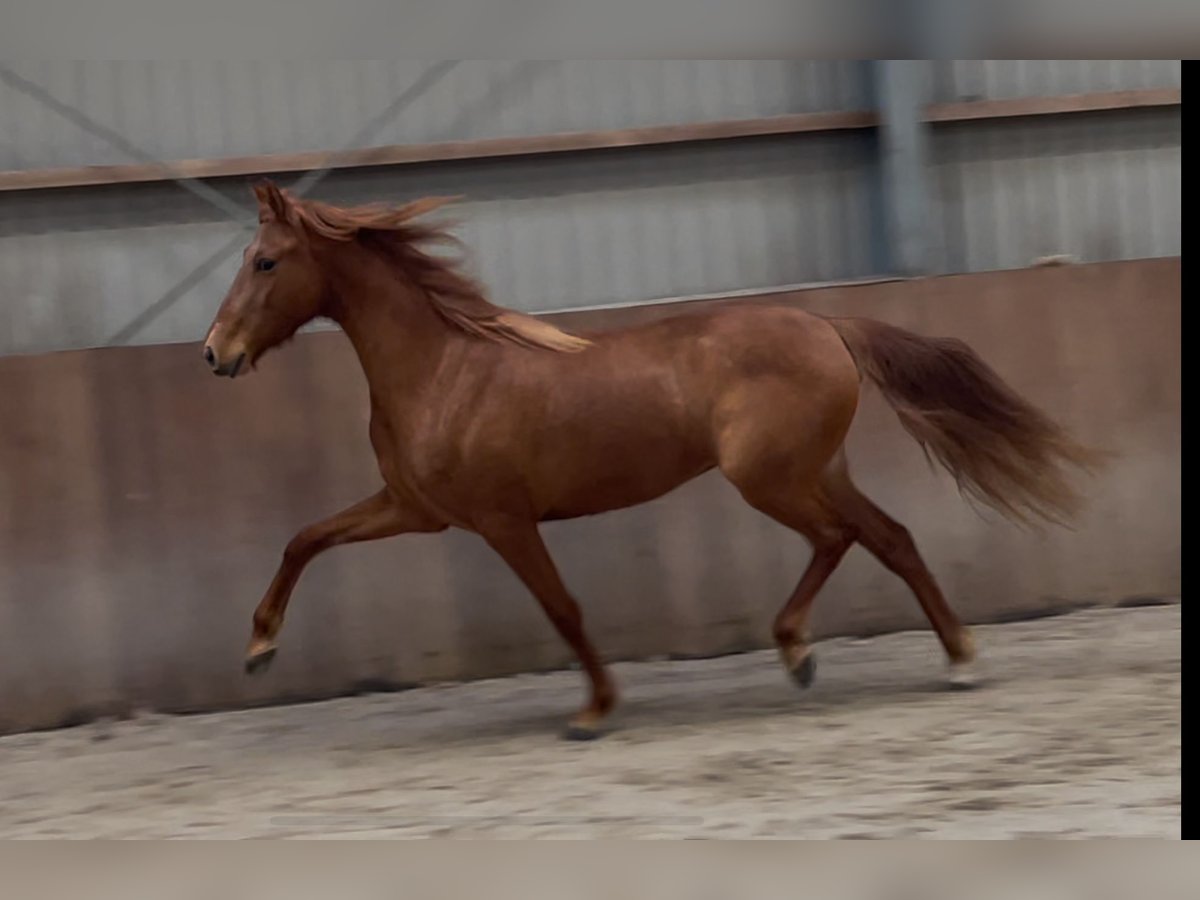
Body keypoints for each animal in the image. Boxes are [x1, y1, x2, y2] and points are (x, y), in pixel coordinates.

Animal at [204, 181, 1099, 739]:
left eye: (265, 262)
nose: (216, 353)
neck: (445, 370)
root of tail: (827, 325)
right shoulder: (416, 510)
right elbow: (305, 538)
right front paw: (258, 650)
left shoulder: (502, 520)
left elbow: (563, 609)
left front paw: (594, 712)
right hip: (815, 470)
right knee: (891, 538)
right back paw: (951, 660)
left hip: (770, 480)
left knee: (841, 539)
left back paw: (807, 651)